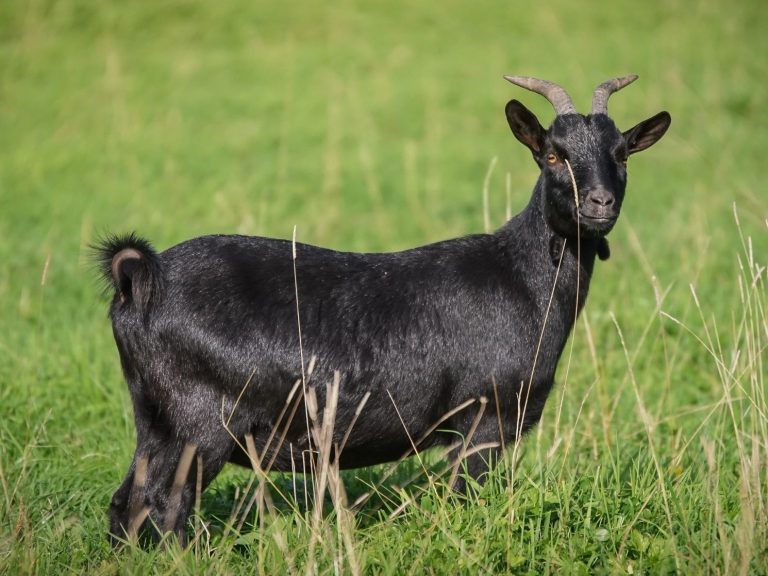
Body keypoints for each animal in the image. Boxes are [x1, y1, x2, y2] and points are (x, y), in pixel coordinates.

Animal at [97, 75, 670, 544]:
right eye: (552, 155)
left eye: (622, 154)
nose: (598, 203)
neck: (522, 277)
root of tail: (140, 278)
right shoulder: (484, 418)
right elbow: (470, 501)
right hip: (201, 422)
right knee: (166, 508)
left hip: (156, 419)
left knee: (127, 505)